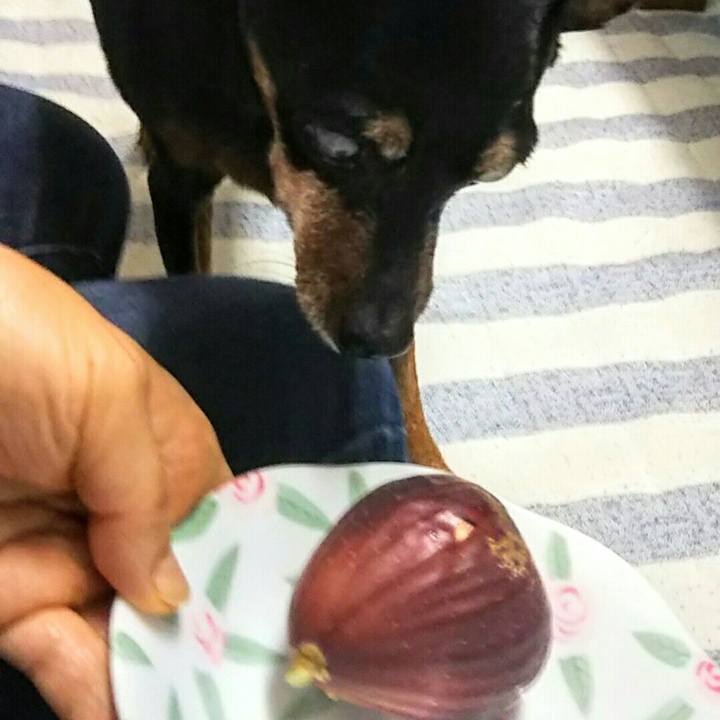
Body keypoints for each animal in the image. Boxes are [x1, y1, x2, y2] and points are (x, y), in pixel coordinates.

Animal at [89, 0, 635, 468]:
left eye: (485, 176)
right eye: (336, 143)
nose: (376, 340)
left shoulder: (400, 273)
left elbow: (403, 368)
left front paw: (427, 462)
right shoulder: (180, 182)